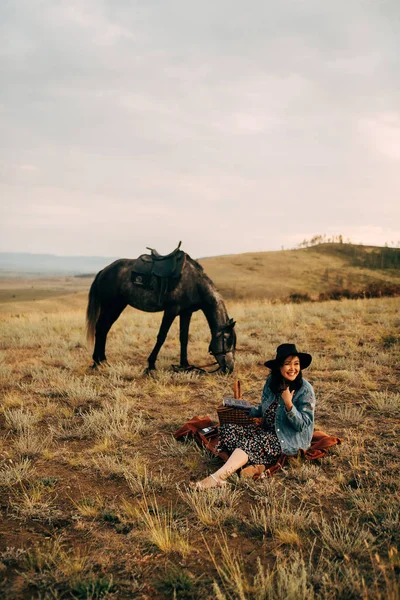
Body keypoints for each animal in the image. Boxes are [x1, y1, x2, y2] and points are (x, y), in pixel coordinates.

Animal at [84, 243, 234, 370]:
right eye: (226, 340)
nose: (230, 368)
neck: (194, 283)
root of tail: (104, 270)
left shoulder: (186, 312)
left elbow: (184, 338)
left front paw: (185, 365)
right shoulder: (171, 310)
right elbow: (162, 336)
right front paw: (151, 365)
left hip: (117, 306)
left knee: (104, 329)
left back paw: (102, 360)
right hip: (110, 306)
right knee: (101, 328)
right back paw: (97, 361)